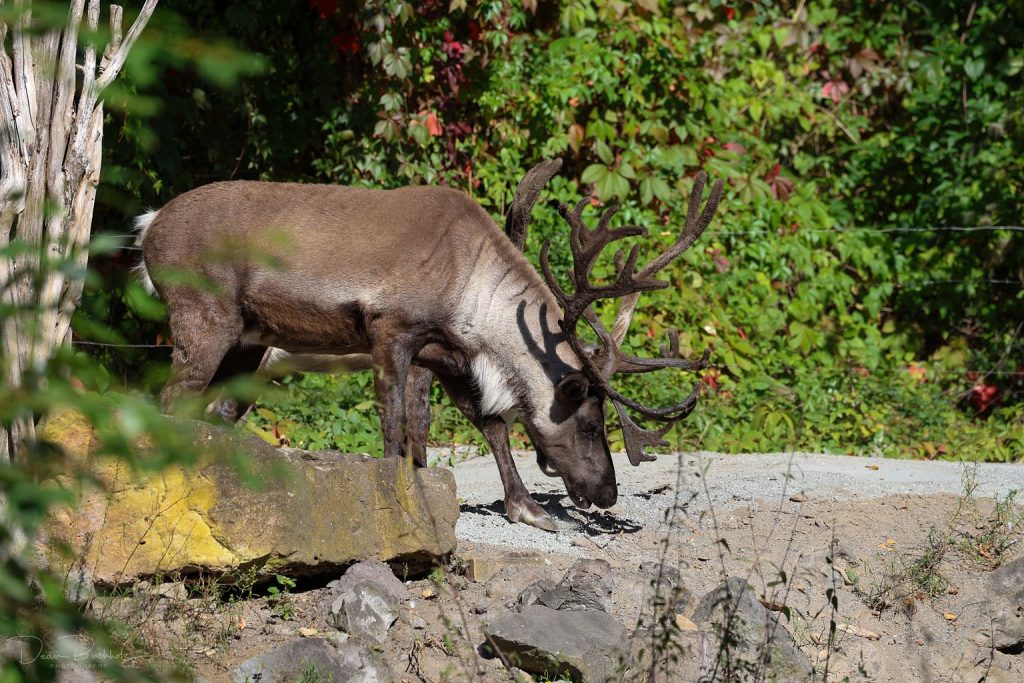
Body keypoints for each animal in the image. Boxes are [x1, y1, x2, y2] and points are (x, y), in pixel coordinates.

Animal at [136, 164, 722, 532]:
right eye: (591, 423)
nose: (607, 493)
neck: (468, 290)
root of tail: (147, 227)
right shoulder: (390, 330)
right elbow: (395, 421)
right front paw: (397, 499)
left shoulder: (445, 355)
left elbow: (486, 424)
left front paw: (527, 508)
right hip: (206, 317)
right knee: (169, 399)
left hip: (248, 341)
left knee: (201, 410)